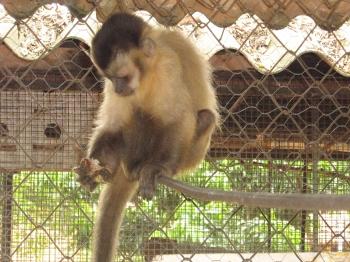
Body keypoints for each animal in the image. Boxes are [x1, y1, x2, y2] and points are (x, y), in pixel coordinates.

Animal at [73, 12, 217, 262]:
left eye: (122, 77)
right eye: (110, 79)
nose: (118, 88)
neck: (147, 75)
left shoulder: (168, 65)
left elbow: (178, 119)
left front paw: (159, 168)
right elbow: (112, 126)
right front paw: (92, 168)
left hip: (191, 156)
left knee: (203, 117)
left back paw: (150, 167)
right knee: (134, 113)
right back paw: (123, 167)